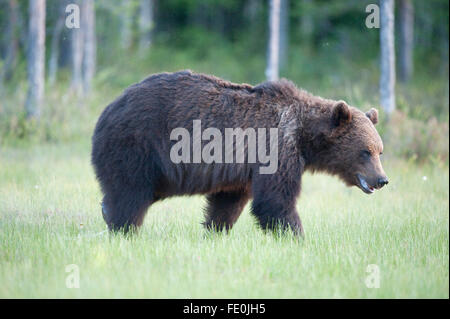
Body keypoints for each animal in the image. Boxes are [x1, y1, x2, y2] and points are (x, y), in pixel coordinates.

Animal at [90, 71, 386, 236]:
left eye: (379, 151)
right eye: (365, 151)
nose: (382, 179)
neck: (304, 136)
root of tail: (108, 108)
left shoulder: (241, 170)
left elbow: (227, 202)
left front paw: (214, 231)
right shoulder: (275, 150)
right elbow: (275, 201)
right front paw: (297, 236)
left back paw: (107, 212)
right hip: (138, 145)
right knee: (131, 192)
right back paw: (123, 227)